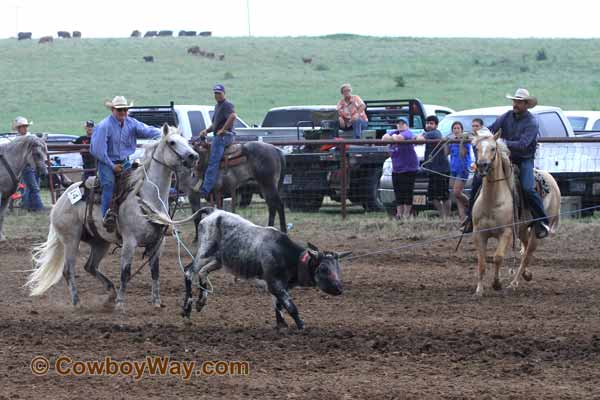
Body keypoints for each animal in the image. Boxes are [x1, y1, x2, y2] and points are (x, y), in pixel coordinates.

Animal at [26, 126, 199, 308]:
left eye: (186, 141)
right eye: (172, 142)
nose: (193, 156)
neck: (148, 197)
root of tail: (60, 201)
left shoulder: (158, 243)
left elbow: (155, 272)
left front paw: (157, 302)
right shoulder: (129, 242)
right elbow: (125, 272)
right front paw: (121, 304)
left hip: (100, 242)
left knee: (90, 266)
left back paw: (110, 291)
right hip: (71, 239)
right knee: (68, 270)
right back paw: (77, 302)